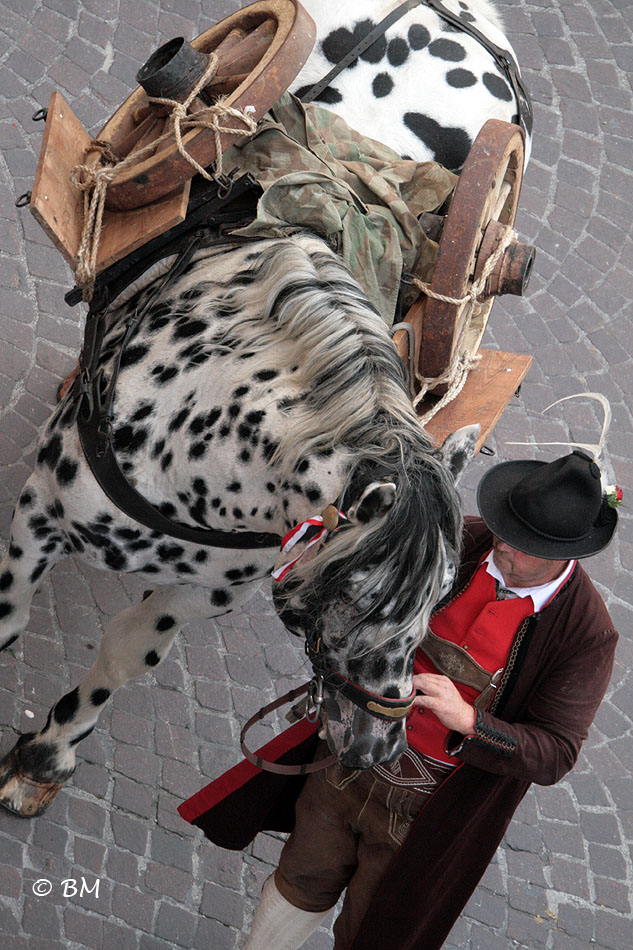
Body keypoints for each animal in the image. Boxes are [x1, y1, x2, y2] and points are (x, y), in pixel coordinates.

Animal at [0, 232, 476, 820]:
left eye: (441, 600)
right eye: (358, 598)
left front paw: (44, 759)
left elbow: (123, 657)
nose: (378, 748)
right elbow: (10, 613)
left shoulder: (196, 596)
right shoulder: (42, 512)